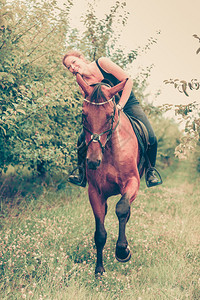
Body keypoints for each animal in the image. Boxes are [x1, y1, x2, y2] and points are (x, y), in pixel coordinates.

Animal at [76, 74, 141, 276]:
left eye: (110, 115)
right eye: (83, 115)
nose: (92, 161)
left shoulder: (132, 183)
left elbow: (121, 208)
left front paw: (122, 251)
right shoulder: (95, 192)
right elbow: (100, 233)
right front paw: (99, 270)